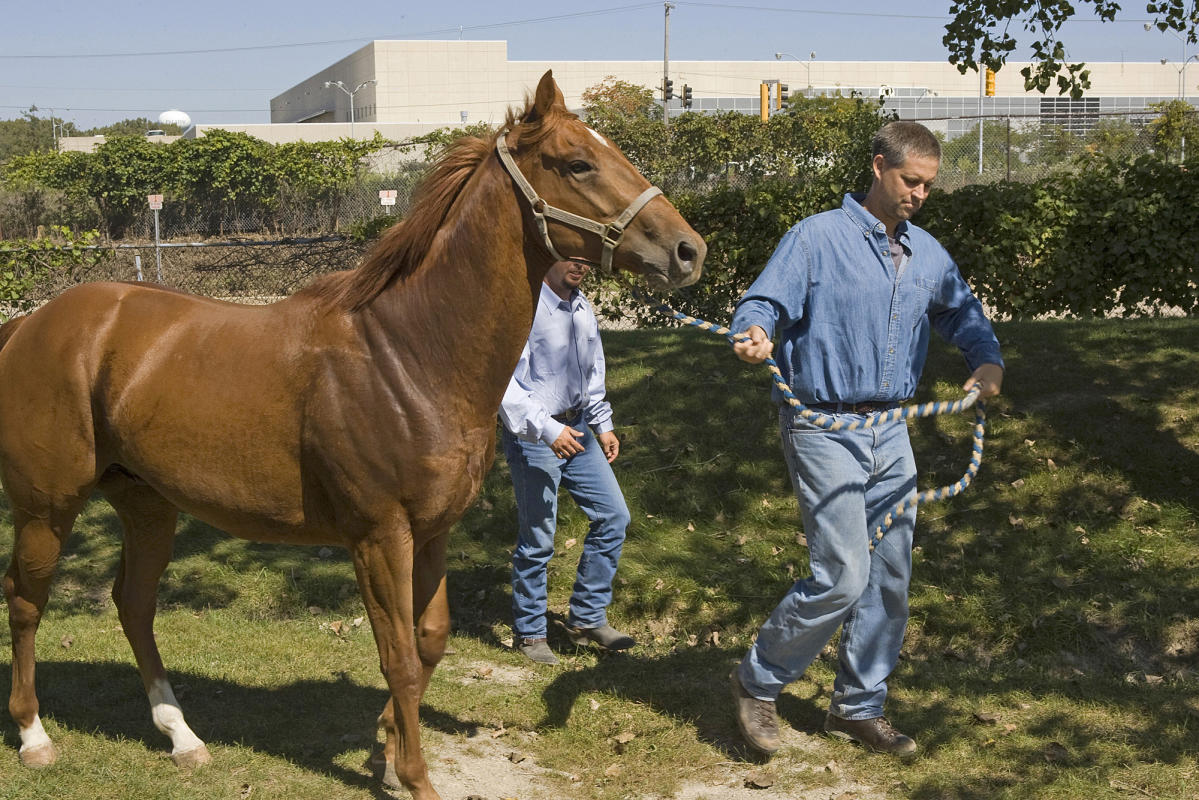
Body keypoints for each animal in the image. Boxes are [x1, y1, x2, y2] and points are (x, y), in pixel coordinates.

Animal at [0, 71, 700, 796]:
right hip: (46, 508)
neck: (408, 352)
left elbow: (429, 642)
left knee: (133, 604)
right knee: (25, 600)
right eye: (577, 163)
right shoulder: (378, 537)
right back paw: (34, 736)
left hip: (147, 505)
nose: (688, 250)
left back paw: (182, 737)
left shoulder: (431, 532)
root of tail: (30, 324)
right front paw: (414, 776)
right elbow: (397, 655)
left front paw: (389, 750)